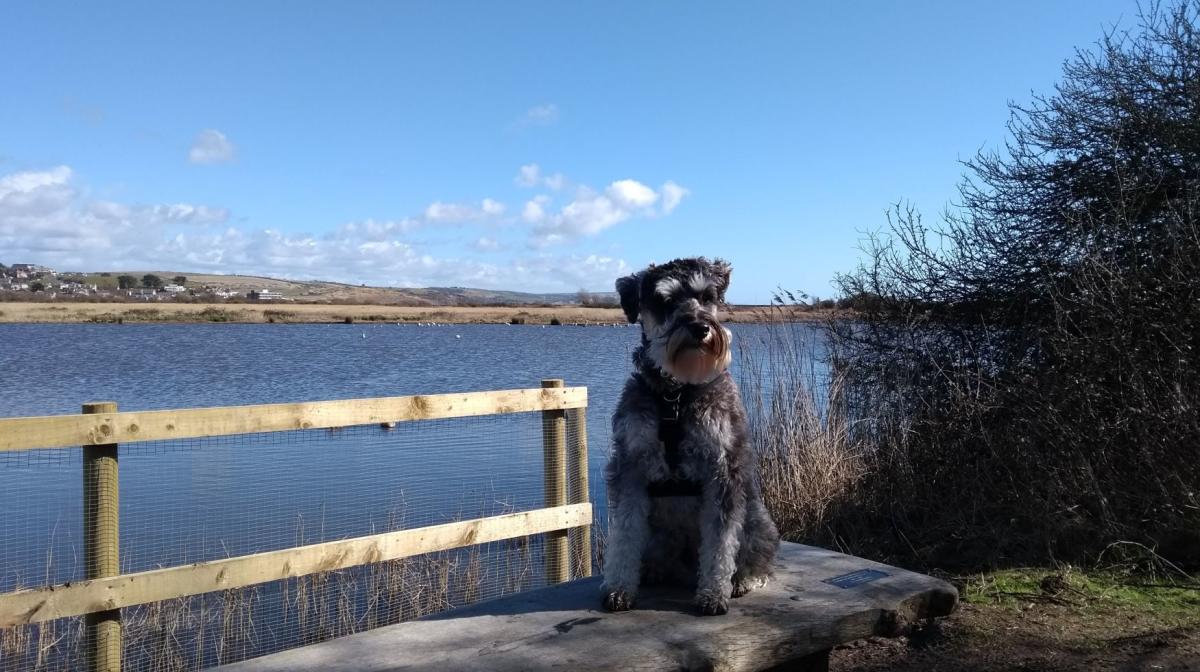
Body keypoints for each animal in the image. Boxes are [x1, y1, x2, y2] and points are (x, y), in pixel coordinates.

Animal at [600, 260, 777, 619]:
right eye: (665, 301)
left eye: (707, 297)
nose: (700, 328)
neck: (675, 394)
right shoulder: (630, 465)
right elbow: (624, 533)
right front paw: (619, 589)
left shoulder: (722, 468)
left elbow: (721, 542)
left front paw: (713, 594)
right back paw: (652, 570)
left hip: (757, 519)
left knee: (757, 557)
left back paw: (744, 580)